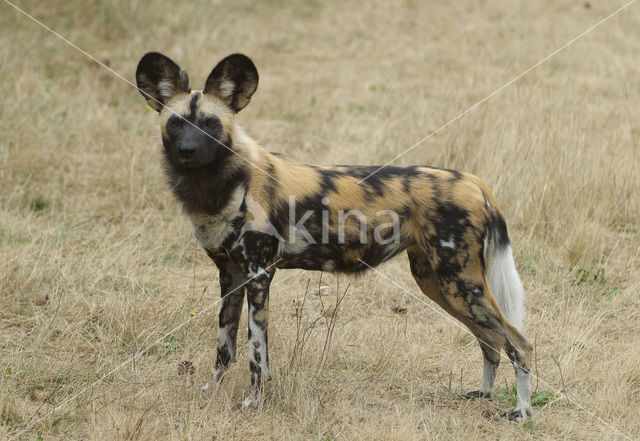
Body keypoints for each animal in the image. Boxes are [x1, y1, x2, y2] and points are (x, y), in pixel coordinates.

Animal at [136, 52, 536, 420]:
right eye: (176, 123)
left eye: (210, 123)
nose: (188, 151)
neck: (223, 184)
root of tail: (474, 181)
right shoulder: (230, 275)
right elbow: (225, 346)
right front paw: (210, 392)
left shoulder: (259, 275)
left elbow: (255, 351)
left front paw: (253, 401)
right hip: (438, 284)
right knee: (490, 342)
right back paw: (483, 395)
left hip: (460, 284)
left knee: (519, 343)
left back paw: (522, 411)